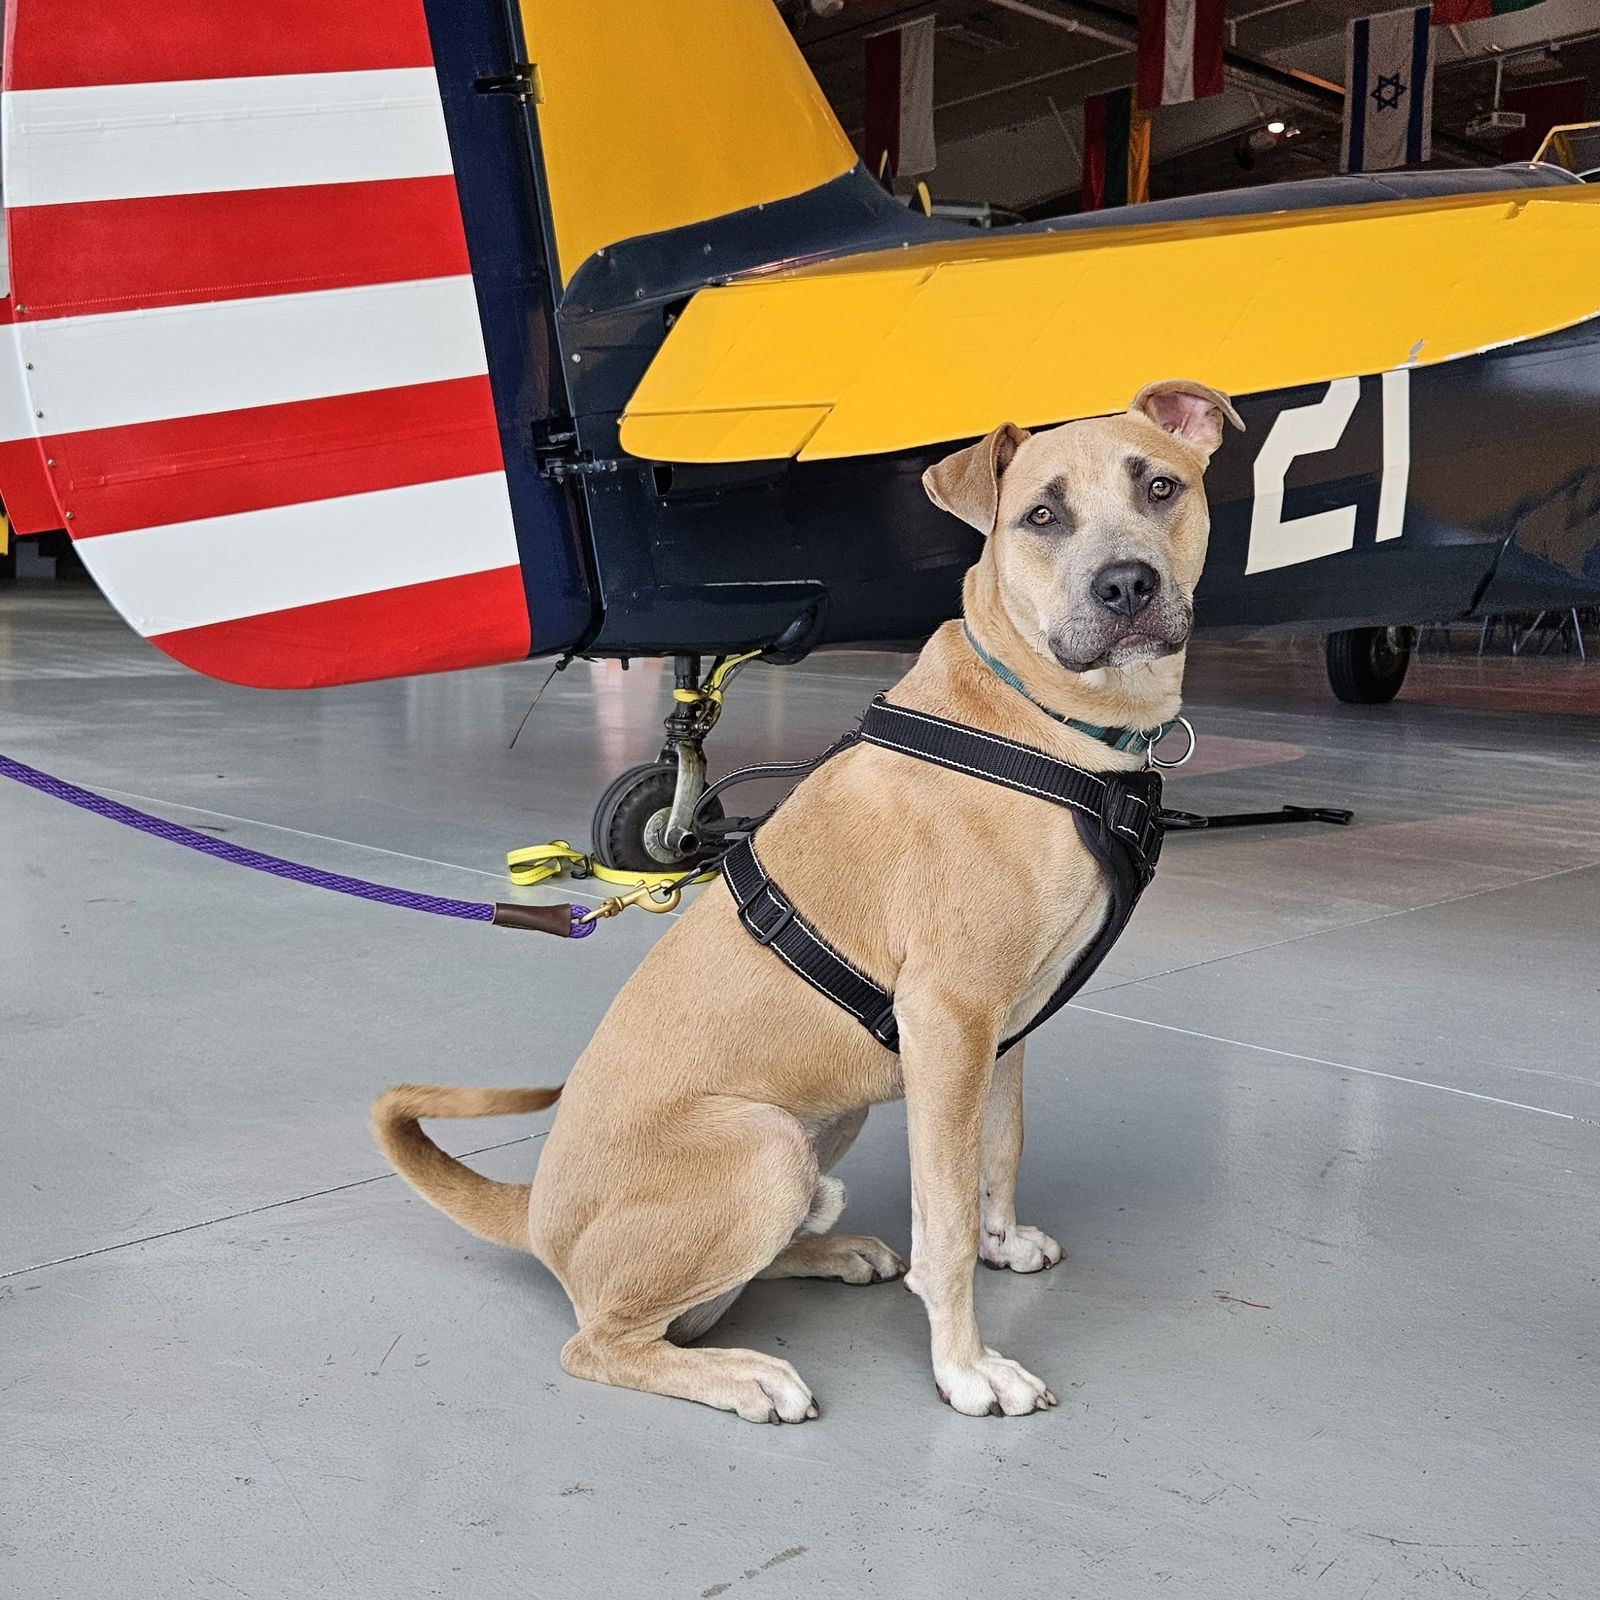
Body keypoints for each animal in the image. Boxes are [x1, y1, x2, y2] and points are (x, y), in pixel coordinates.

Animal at [371, 377, 1235, 1427]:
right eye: (1041, 516)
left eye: (1161, 487)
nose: (1127, 586)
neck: (1046, 724)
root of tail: (534, 1214)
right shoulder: (949, 1021)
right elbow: (945, 1221)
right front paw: (966, 1367)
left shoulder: (1001, 1032)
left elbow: (999, 1153)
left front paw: (1005, 1241)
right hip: (768, 1145)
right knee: (604, 1343)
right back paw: (742, 1373)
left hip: (832, 1118)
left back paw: (831, 1251)